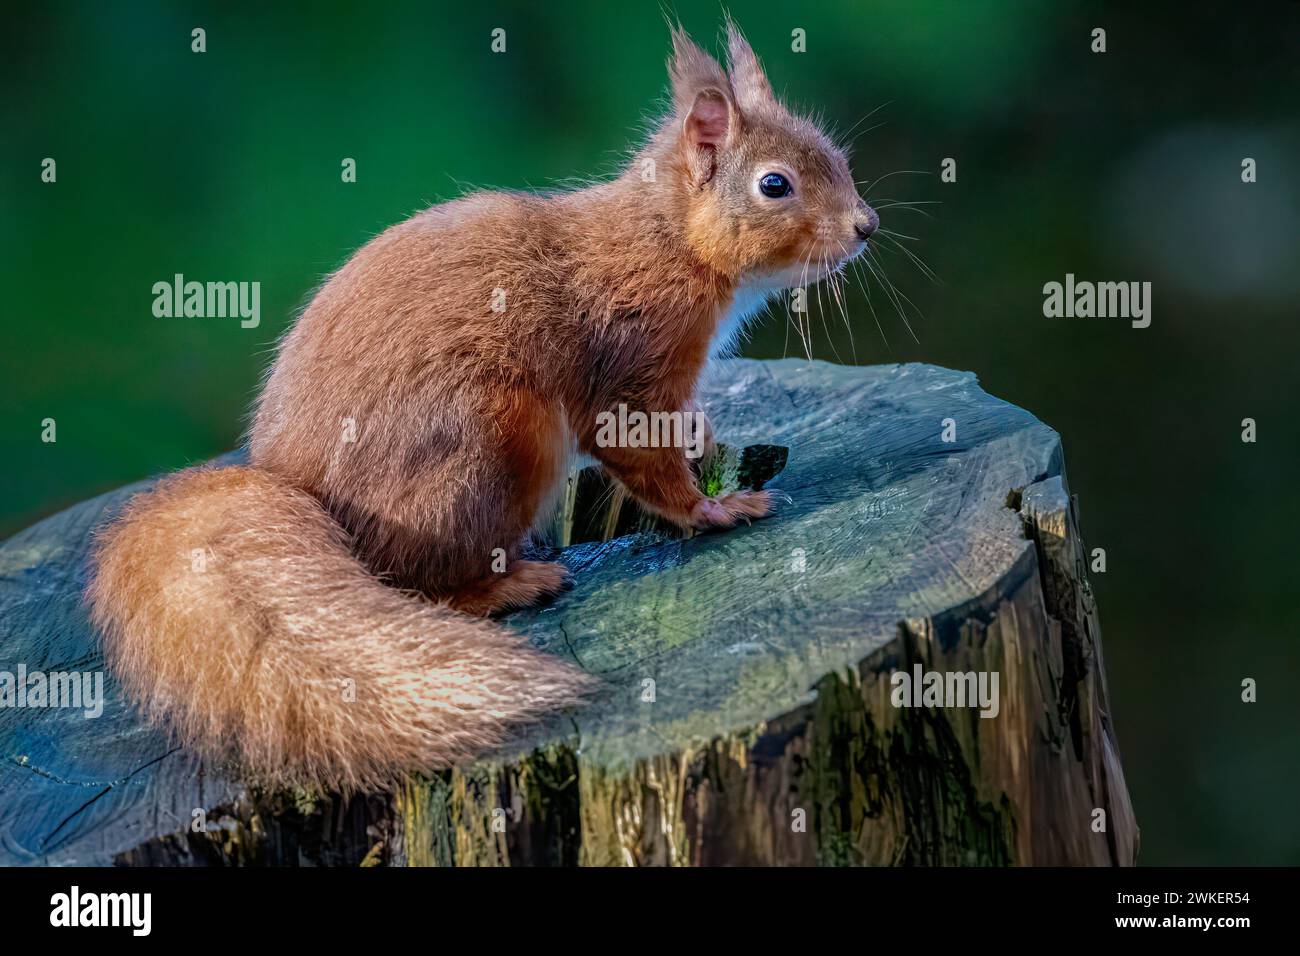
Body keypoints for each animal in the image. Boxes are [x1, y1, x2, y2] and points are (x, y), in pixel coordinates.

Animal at [86, 23, 879, 791]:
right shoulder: (631, 366)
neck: (669, 238)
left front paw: (710, 446)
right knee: (426, 581)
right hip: (495, 444)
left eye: (836, 154)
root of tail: (294, 485)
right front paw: (712, 509)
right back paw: (512, 584)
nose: (866, 225)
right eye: (774, 185)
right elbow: (640, 455)